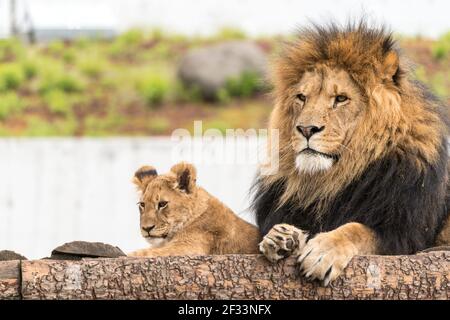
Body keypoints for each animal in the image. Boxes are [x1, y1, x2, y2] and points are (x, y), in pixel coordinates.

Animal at [251, 22, 450, 284]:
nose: (306, 129)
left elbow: (357, 229)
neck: (333, 179)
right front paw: (280, 238)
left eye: (341, 99)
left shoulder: (404, 237)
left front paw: (323, 250)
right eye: (301, 97)